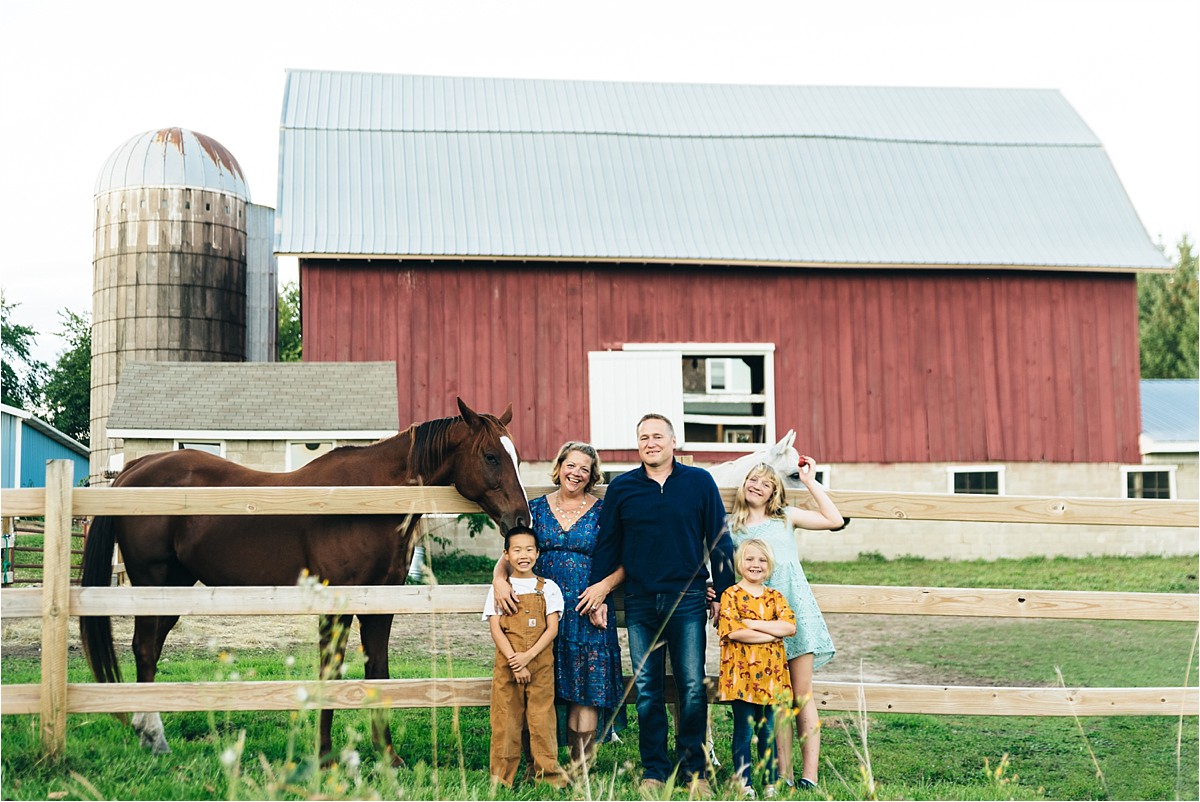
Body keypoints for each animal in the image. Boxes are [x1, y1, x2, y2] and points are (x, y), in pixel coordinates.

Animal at [75, 398, 525, 768]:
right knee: (145, 648)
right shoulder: (335, 607)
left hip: (177, 586)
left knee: (149, 648)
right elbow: (330, 674)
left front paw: (388, 757)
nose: (521, 520)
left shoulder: (380, 606)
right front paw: (324, 758)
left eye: (516, 457)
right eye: (490, 456)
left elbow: (378, 674)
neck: (366, 501)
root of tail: (134, 469)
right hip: (153, 581)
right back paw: (153, 735)